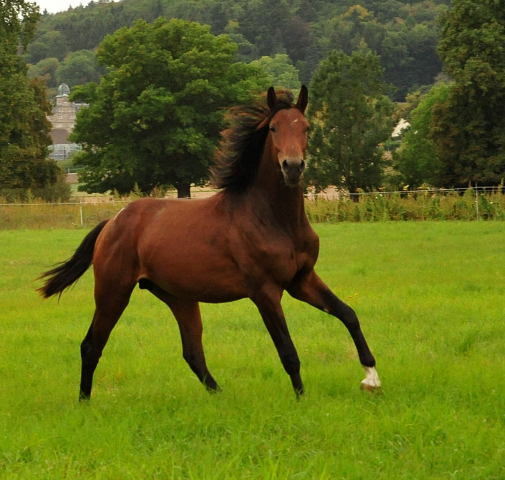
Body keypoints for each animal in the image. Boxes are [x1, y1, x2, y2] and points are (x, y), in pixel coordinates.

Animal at [37, 87, 380, 402]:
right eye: (273, 128)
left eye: (306, 127)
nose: (292, 167)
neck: (274, 219)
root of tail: (113, 222)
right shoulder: (265, 292)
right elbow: (287, 350)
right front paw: (301, 400)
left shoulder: (302, 280)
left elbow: (348, 314)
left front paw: (371, 378)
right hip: (113, 291)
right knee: (92, 345)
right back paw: (84, 402)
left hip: (179, 298)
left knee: (192, 352)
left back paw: (221, 396)